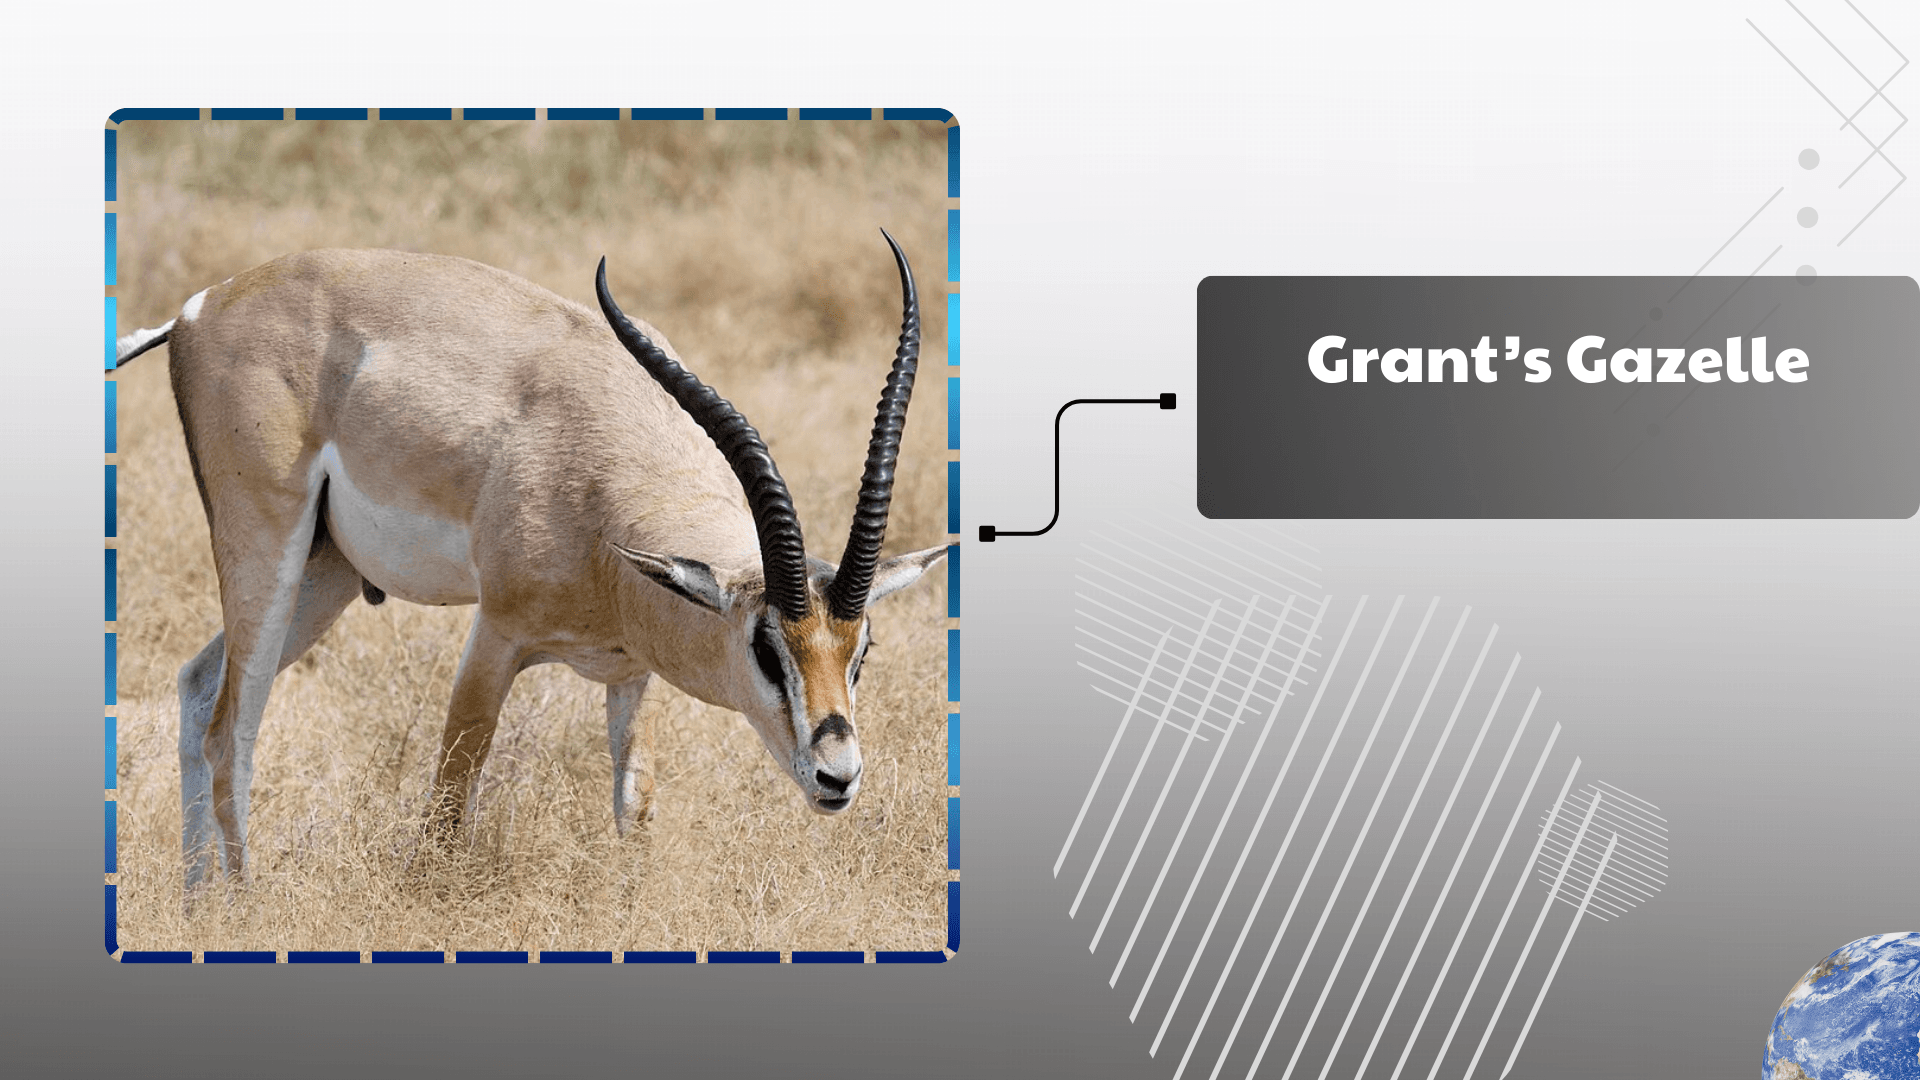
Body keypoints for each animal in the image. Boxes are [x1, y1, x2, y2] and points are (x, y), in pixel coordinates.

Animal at [115, 234, 946, 892]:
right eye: (766, 648)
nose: (838, 775)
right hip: (269, 547)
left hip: (327, 575)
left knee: (198, 687)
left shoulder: (631, 674)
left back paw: (195, 905)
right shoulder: (496, 636)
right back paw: (241, 905)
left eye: (861, 651)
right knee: (231, 729)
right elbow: (450, 802)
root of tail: (201, 306)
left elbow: (634, 808)